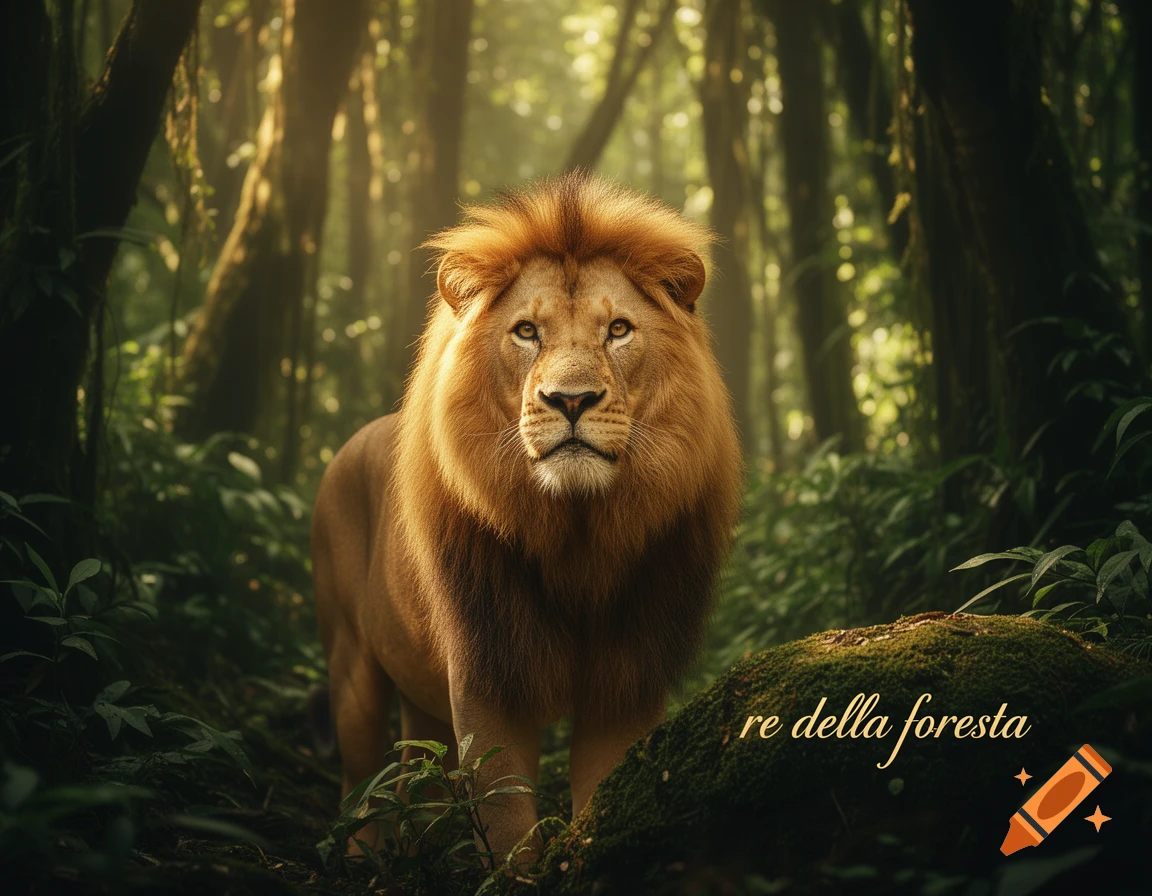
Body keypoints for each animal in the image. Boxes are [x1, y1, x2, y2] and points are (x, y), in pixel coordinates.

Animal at [311, 171, 743, 863]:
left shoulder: (626, 681)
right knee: (361, 790)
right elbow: (508, 822)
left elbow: (599, 800)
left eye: (618, 329)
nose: (571, 400)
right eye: (526, 332)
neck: (576, 535)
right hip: (350, 667)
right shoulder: (488, 673)